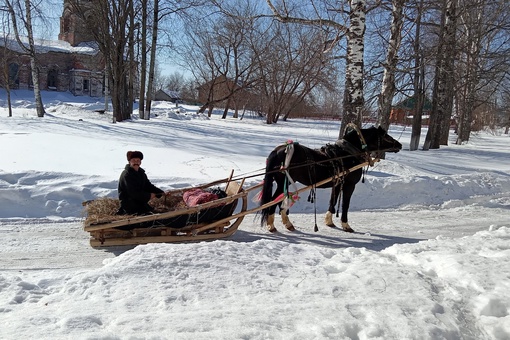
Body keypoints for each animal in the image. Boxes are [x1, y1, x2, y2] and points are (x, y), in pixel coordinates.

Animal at [258, 125, 402, 234]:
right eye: (386, 136)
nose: (399, 145)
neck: (348, 154)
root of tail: (278, 150)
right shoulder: (349, 185)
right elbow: (345, 205)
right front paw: (346, 225)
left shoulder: (337, 184)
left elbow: (332, 201)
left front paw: (329, 221)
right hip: (284, 182)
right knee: (273, 202)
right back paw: (272, 226)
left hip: (285, 183)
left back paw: (286, 224)